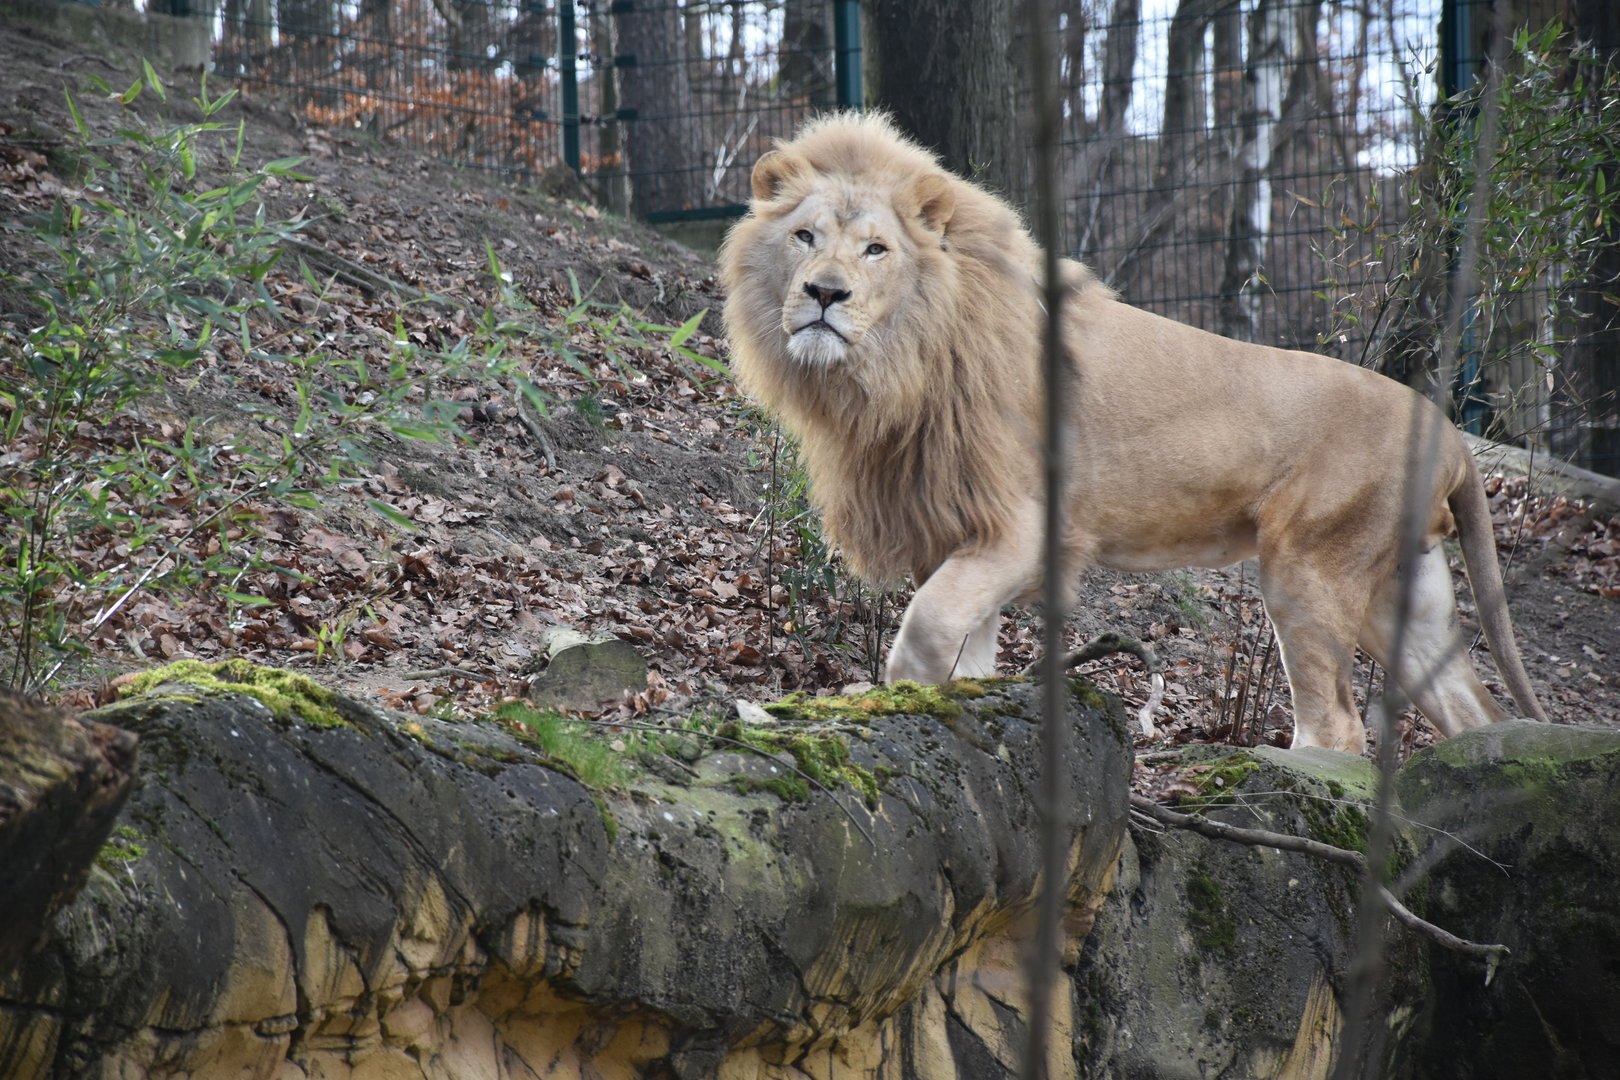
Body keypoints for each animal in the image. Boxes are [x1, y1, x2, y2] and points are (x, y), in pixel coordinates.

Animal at [718, 113, 1547, 753]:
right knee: (1473, 713)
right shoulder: (951, 524)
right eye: (803, 236)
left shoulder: (1028, 526)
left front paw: (906, 700)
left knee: (1339, 726)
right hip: (1402, 595)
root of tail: (1450, 434)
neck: (896, 365)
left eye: (875, 249)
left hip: (1309, 569)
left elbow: (927, 627)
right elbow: (966, 644)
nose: (824, 294)